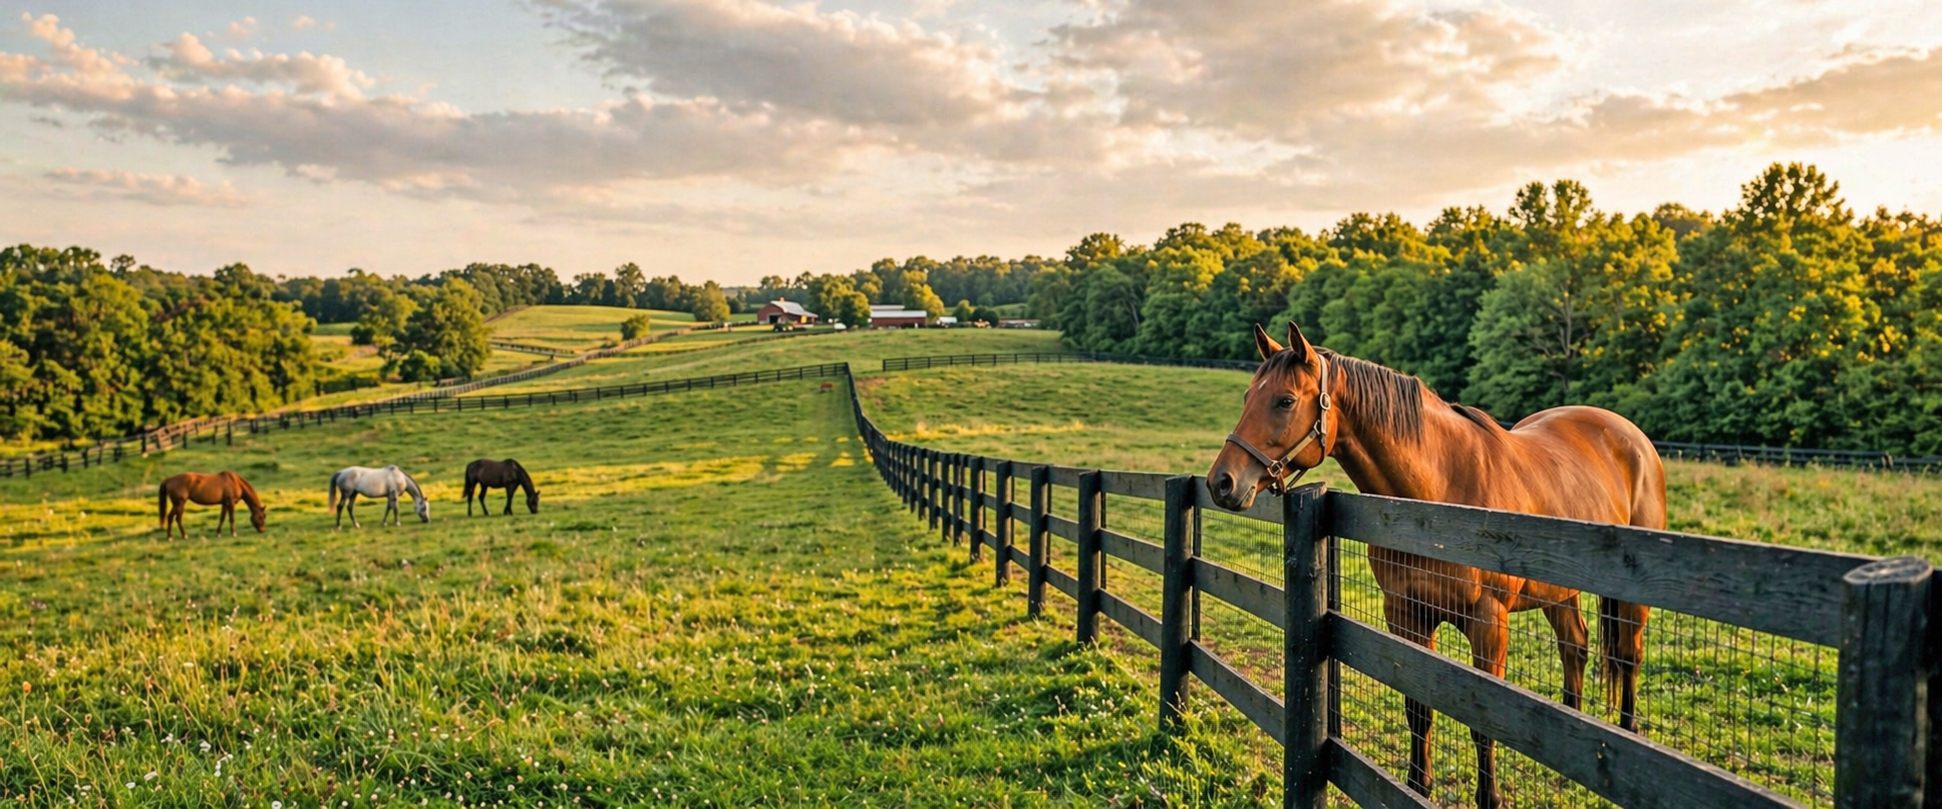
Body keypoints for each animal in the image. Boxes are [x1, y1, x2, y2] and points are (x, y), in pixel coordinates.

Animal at [1207, 323, 1659, 809]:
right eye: (1248, 396)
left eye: (1285, 401)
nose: (1222, 482)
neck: (1437, 500)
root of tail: (1630, 436)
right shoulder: (1407, 615)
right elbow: (1418, 708)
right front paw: (1417, 785)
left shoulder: (1488, 622)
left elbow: (1484, 722)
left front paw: (1489, 798)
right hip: (1559, 592)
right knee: (1574, 645)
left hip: (1628, 602)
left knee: (1628, 656)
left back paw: (1628, 731)